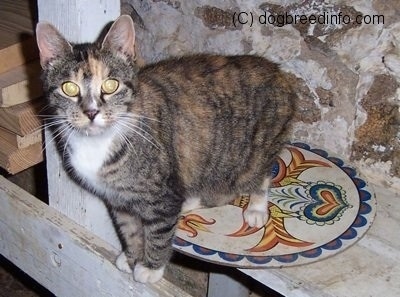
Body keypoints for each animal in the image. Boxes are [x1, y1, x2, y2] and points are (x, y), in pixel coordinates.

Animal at [35, 15, 296, 282]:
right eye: (69, 88)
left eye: (111, 85)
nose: (91, 112)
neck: (99, 141)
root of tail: (278, 72)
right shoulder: (119, 199)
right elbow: (130, 230)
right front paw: (132, 257)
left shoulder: (161, 194)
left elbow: (158, 232)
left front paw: (150, 268)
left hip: (253, 152)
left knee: (260, 174)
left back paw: (256, 207)